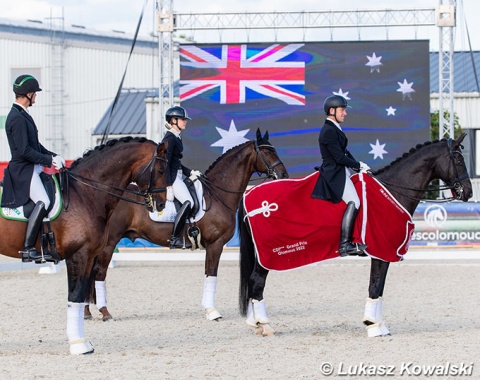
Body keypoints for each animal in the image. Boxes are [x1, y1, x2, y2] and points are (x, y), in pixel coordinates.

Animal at [0, 136, 168, 354]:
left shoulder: (88, 257)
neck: (85, 193)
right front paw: (78, 345)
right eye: (162, 170)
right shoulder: (77, 256)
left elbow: (80, 297)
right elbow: (74, 296)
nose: (162, 204)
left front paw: (82, 340)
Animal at [85, 129, 288, 322]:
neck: (217, 194)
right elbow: (211, 275)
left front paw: (207, 309)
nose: (283, 175)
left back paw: (86, 312)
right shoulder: (216, 244)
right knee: (99, 273)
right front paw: (212, 312)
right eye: (267, 152)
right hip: (109, 243)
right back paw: (105, 312)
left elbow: (207, 274)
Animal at [238, 133, 470, 336]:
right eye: (458, 159)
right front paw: (373, 325)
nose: (468, 192)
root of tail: (248, 195)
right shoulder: (381, 251)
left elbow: (379, 287)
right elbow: (375, 286)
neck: (392, 192)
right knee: (257, 282)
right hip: (267, 255)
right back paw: (265, 325)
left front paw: (378, 324)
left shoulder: (383, 253)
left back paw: (256, 323)